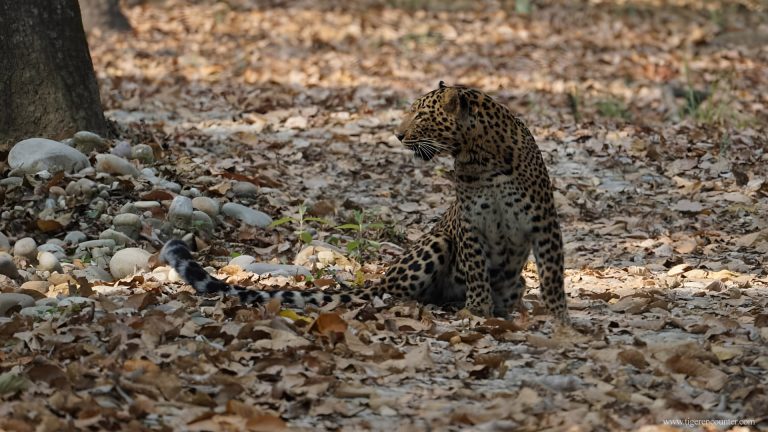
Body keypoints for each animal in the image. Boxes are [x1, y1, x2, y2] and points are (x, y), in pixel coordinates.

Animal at [160, 81, 569, 324]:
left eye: (421, 115)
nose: (398, 134)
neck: (479, 155)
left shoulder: (543, 222)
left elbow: (552, 275)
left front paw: (558, 318)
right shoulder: (470, 224)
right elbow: (477, 271)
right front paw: (478, 313)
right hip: (435, 243)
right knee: (394, 293)